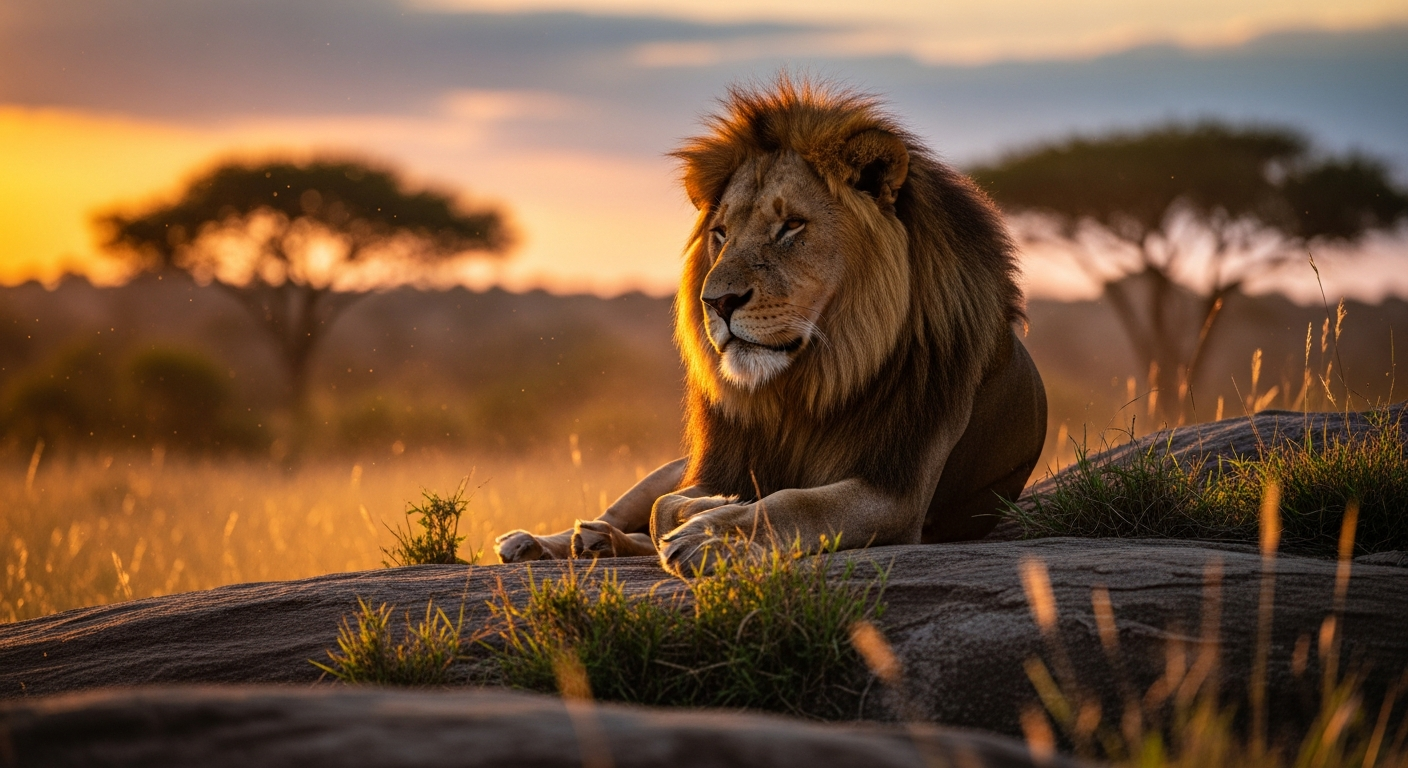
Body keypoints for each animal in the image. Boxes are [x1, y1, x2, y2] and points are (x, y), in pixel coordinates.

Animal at [496, 78, 1047, 576]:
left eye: (791, 226)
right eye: (720, 232)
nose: (716, 302)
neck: (802, 385)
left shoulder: (896, 492)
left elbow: (793, 502)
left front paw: (712, 534)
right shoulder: (719, 465)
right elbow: (664, 508)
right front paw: (707, 510)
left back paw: (597, 541)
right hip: (671, 464)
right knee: (628, 508)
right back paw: (547, 541)